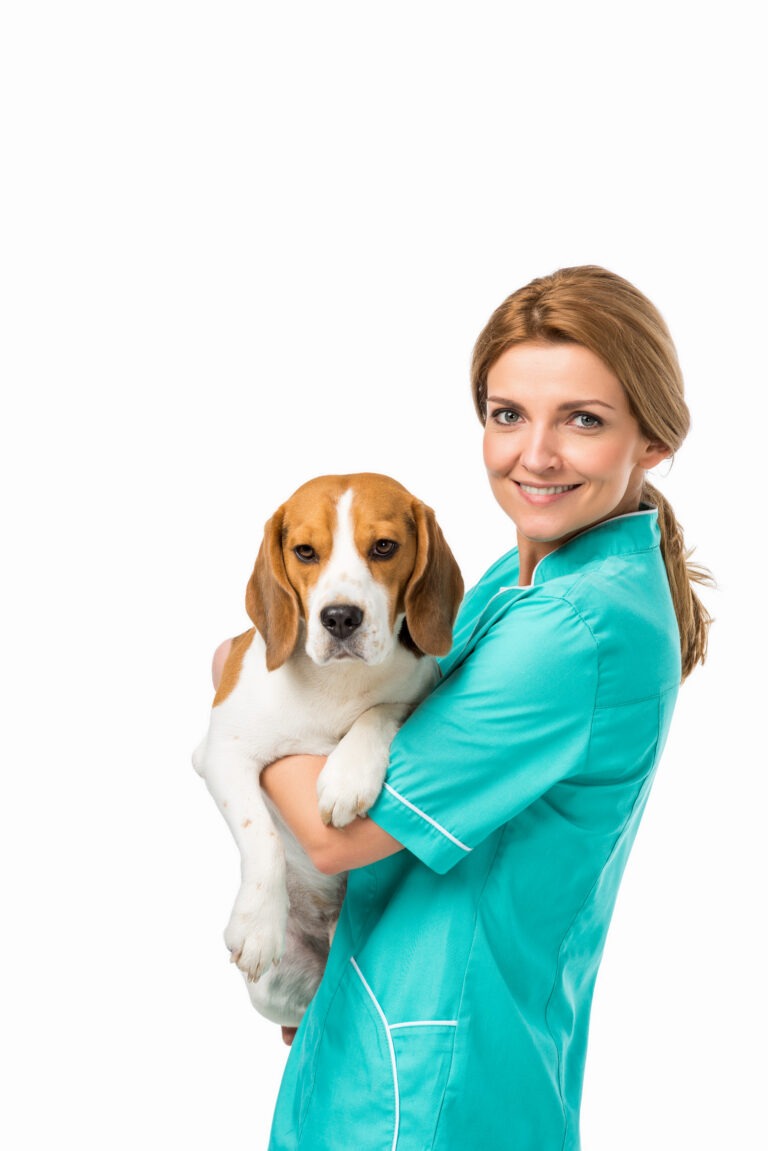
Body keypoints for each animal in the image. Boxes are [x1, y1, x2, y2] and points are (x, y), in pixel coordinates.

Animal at [195, 471, 465, 1031]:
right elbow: (260, 833)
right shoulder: (218, 752)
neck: (335, 682)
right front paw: (259, 924)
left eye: (383, 547)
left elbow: (379, 712)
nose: (340, 617)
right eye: (304, 552)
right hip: (272, 992)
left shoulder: (418, 690)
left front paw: (347, 776)